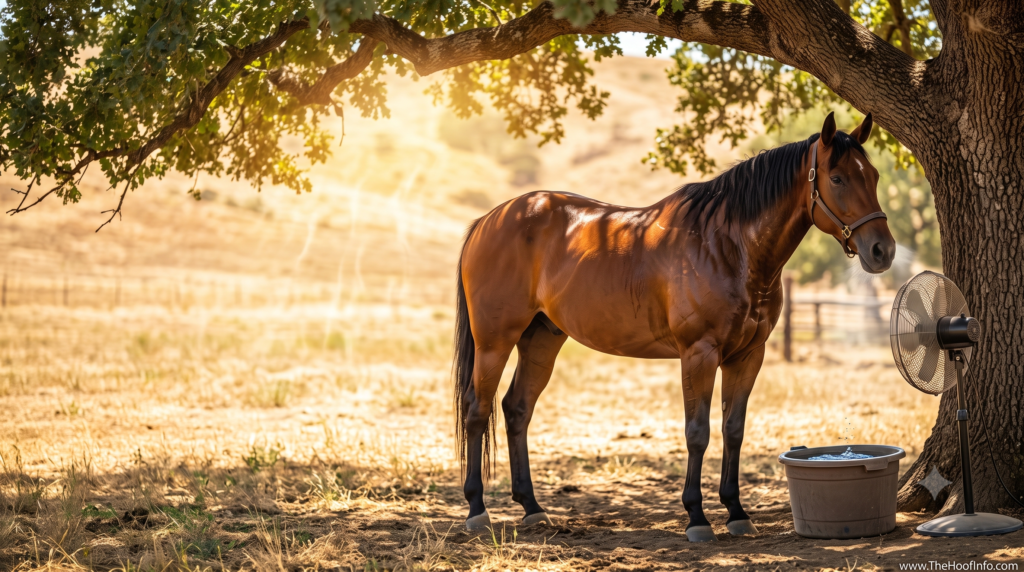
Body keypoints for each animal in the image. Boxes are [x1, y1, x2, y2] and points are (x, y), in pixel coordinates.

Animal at [452, 112, 895, 542]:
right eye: (837, 178)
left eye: (873, 175)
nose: (882, 251)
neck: (729, 248)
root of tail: (489, 220)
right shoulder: (699, 354)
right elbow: (697, 432)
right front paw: (697, 517)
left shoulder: (748, 356)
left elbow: (733, 429)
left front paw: (736, 512)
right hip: (494, 341)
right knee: (477, 410)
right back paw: (477, 510)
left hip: (541, 338)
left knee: (517, 409)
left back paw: (532, 508)